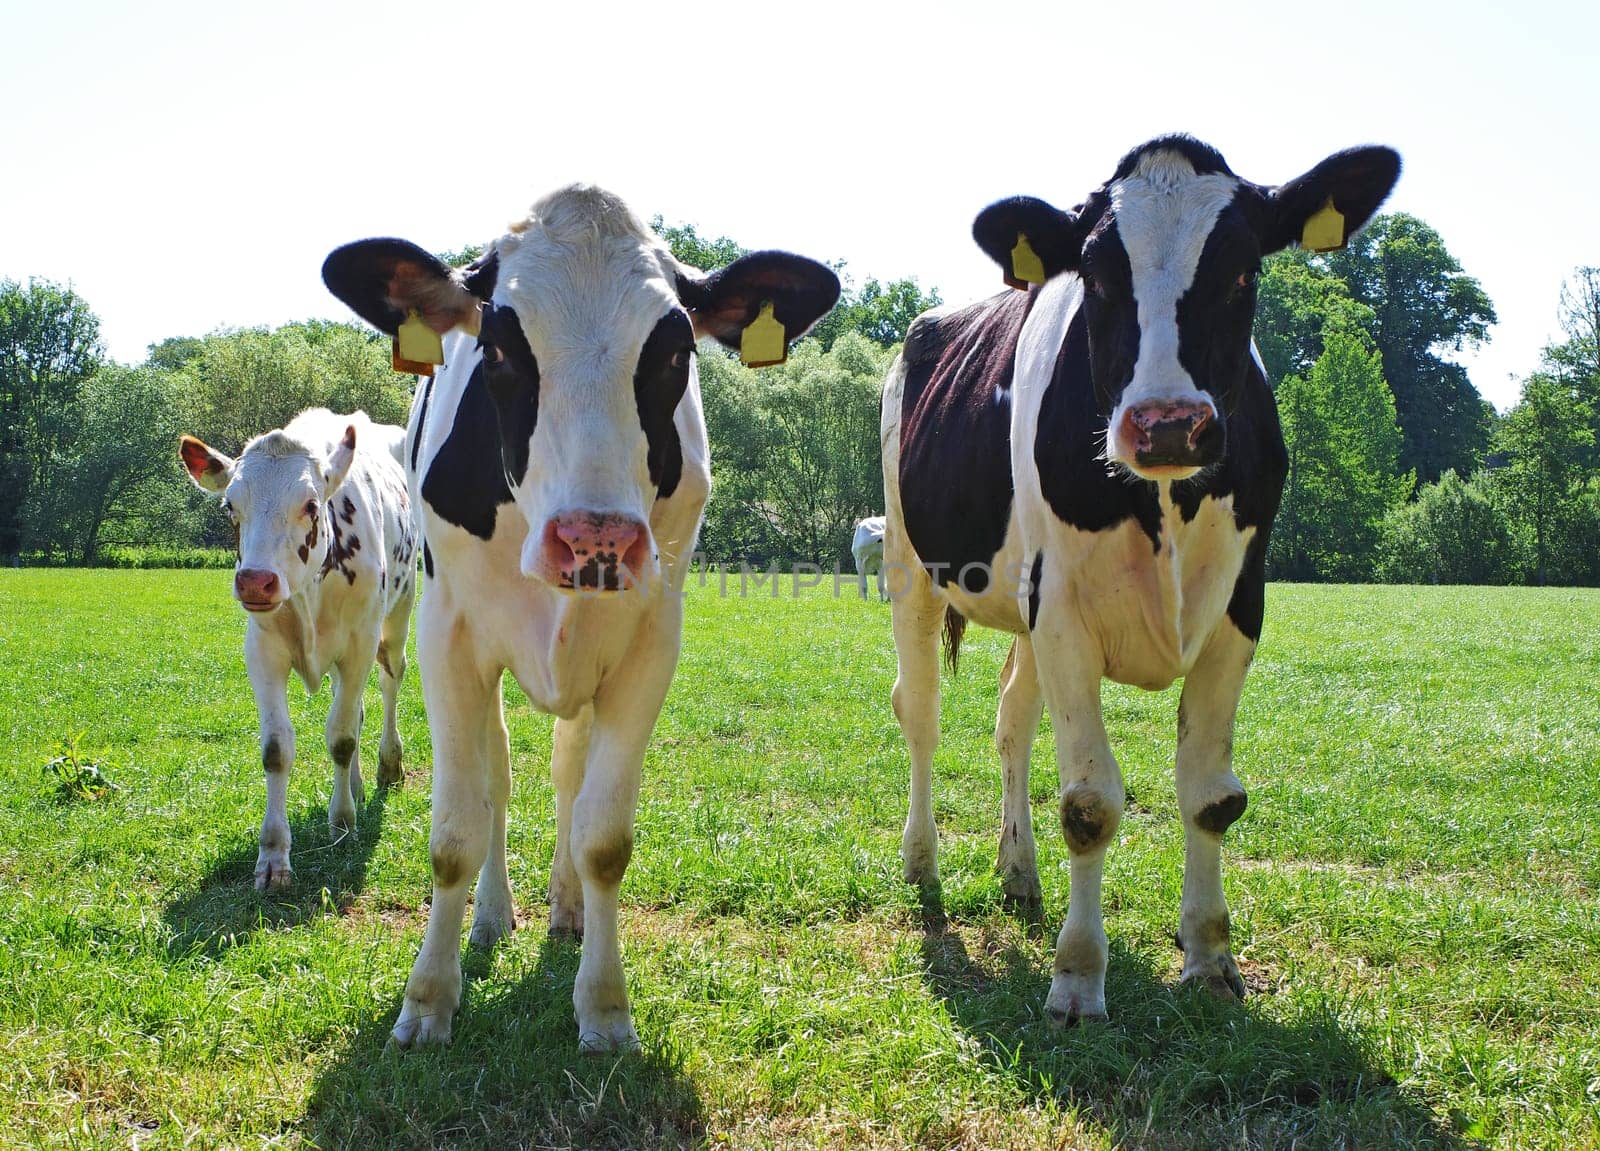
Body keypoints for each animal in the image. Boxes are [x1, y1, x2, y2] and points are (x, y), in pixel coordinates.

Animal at [181, 409, 419, 896]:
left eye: (311, 505)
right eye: (229, 506)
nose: (255, 581)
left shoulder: (359, 645)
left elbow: (342, 738)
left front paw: (342, 821)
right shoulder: (262, 651)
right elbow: (278, 748)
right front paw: (273, 855)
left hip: (397, 619)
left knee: (389, 683)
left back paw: (388, 765)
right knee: (356, 709)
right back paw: (358, 784)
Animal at [883, 137, 1395, 1024]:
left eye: (1243, 270)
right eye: (1097, 276)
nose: (1166, 425)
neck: (1165, 502)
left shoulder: (1241, 605)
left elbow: (1211, 795)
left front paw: (1211, 958)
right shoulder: (1062, 610)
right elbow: (1089, 804)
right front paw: (1078, 977)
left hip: (1022, 607)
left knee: (1012, 721)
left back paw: (1018, 872)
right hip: (912, 564)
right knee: (920, 712)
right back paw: (923, 861)